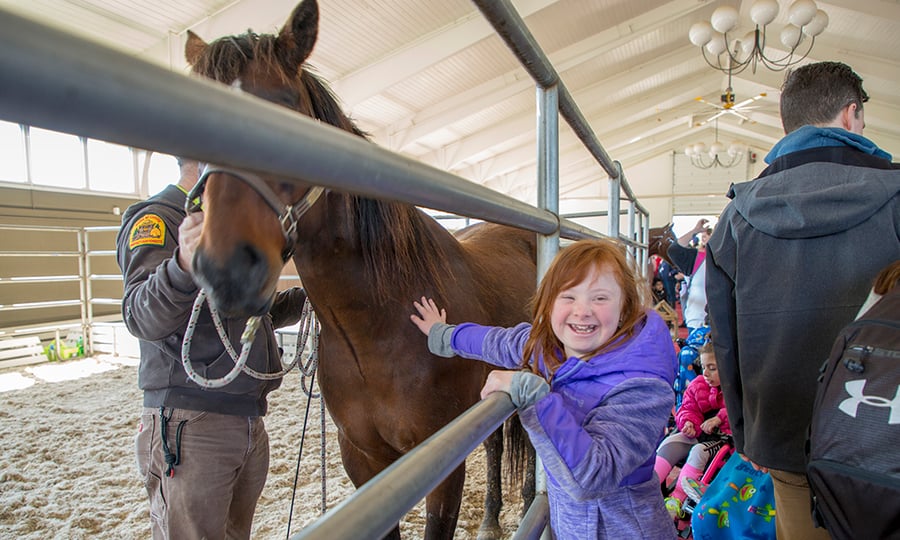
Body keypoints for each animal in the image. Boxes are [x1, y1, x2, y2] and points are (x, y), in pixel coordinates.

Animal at [184, 1, 535, 538]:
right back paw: (493, 520)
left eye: (284, 109)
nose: (225, 269)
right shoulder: (364, 463)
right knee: (496, 444)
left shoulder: (440, 465)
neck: (378, 328)